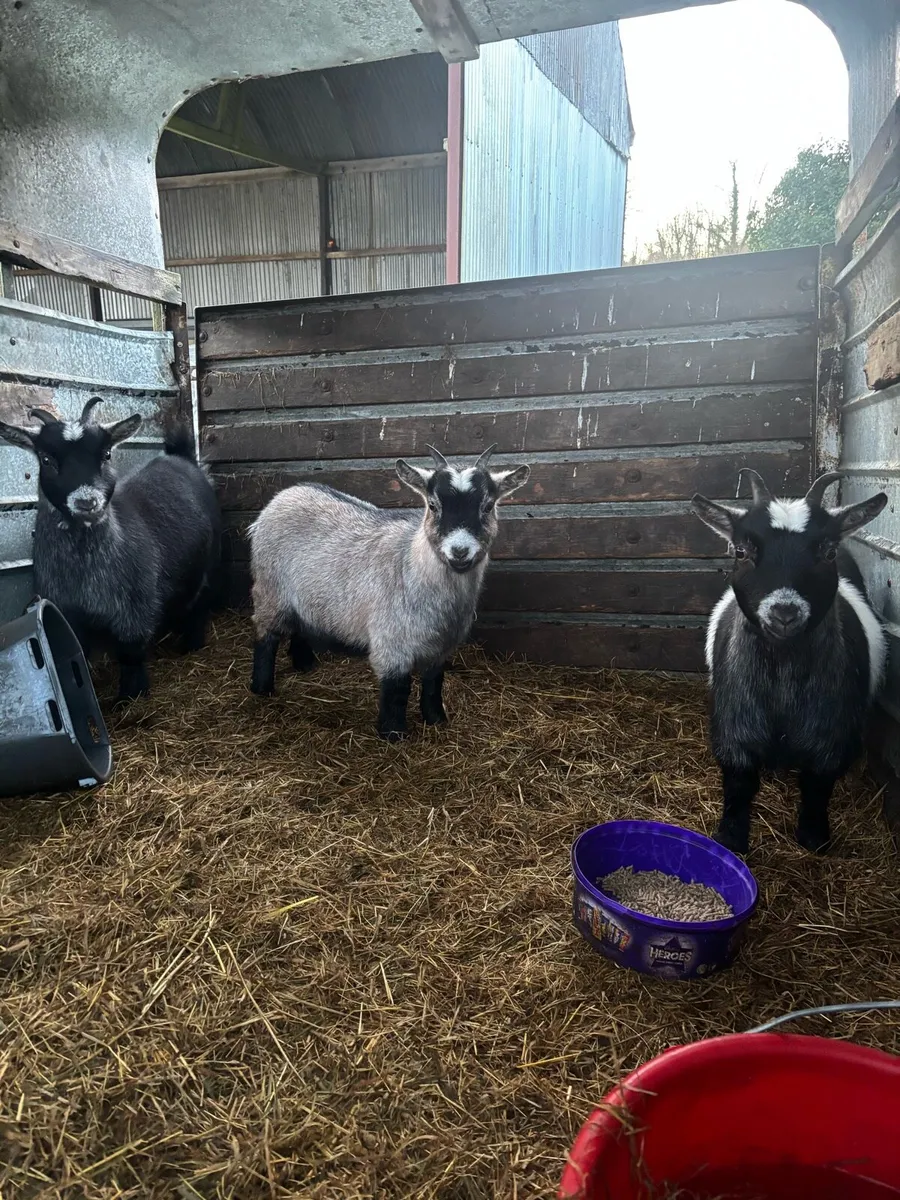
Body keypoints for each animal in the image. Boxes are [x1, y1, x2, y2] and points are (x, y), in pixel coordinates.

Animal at [0, 397, 221, 701]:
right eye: (46, 459)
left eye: (106, 454)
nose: (86, 502)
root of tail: (181, 457)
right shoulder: (68, 614)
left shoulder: (135, 613)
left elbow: (130, 656)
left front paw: (130, 696)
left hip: (207, 567)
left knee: (199, 605)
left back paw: (191, 645)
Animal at [249, 444, 530, 739]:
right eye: (433, 505)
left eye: (487, 506)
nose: (460, 551)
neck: (411, 564)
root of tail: (286, 494)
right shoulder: (392, 641)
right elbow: (397, 689)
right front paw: (393, 733)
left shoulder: (441, 645)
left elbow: (434, 682)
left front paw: (436, 720)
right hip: (270, 591)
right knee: (265, 636)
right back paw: (262, 687)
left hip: (304, 597)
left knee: (301, 624)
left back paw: (304, 664)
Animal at [691, 468, 888, 855]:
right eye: (742, 550)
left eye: (827, 551)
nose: (784, 613)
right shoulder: (734, 730)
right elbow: (738, 785)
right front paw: (731, 839)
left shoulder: (830, 737)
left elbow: (818, 786)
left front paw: (815, 838)